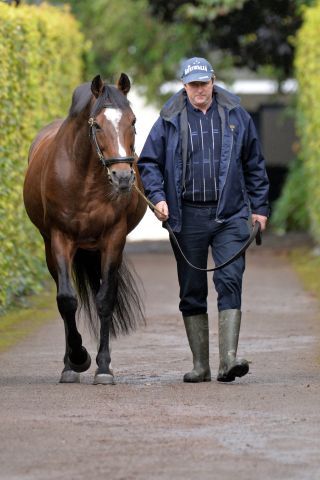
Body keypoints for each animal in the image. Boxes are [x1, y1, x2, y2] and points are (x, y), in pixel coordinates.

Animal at [23, 73, 146, 384]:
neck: (85, 179)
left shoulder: (113, 240)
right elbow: (67, 300)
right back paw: (69, 363)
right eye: (97, 124)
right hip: (51, 249)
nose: (123, 177)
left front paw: (103, 367)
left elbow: (105, 300)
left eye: (133, 121)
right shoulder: (60, 238)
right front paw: (77, 360)